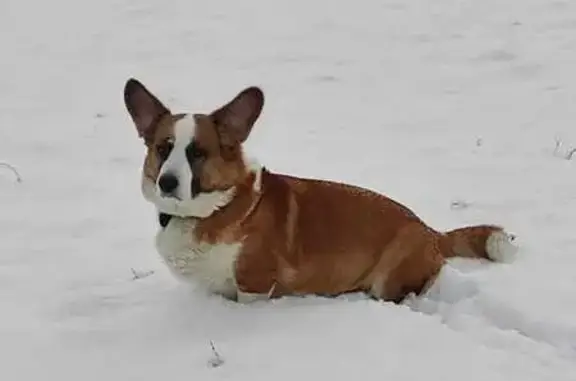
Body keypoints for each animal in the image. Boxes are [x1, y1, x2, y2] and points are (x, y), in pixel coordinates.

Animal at [124, 79, 520, 302]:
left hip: (390, 278)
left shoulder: (254, 286)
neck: (216, 208)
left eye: (198, 153)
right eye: (163, 148)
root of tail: (432, 232)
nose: (167, 182)